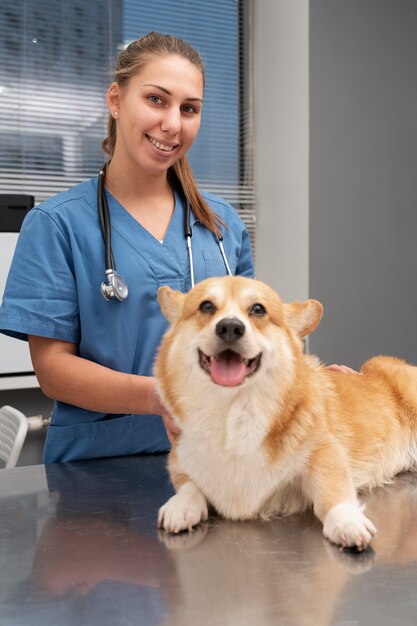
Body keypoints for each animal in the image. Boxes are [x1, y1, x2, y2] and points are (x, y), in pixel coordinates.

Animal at [154, 276, 416, 544]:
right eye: (206, 306)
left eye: (258, 309)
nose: (229, 327)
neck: (232, 411)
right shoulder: (180, 458)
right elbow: (188, 485)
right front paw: (180, 506)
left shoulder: (324, 450)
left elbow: (332, 490)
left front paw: (347, 521)